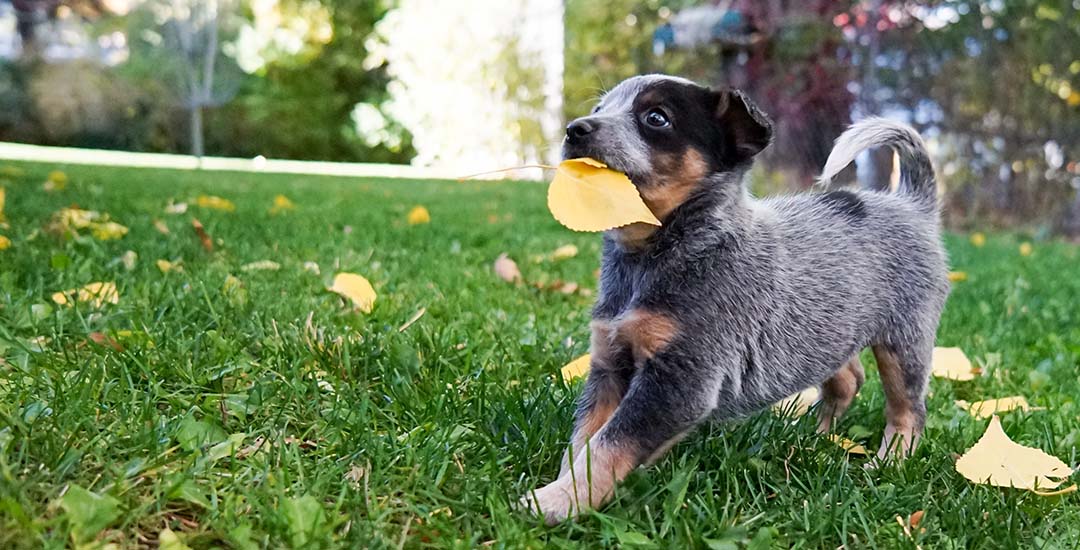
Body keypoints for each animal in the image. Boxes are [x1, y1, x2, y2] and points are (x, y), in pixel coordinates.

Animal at [518, 74, 950, 522]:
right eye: (600, 109)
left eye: (656, 118)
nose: (575, 129)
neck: (654, 254)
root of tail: (912, 204)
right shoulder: (609, 362)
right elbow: (583, 441)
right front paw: (564, 487)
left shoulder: (681, 379)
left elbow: (610, 444)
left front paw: (557, 502)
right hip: (829, 328)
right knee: (848, 379)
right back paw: (811, 436)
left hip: (905, 340)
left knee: (908, 409)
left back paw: (890, 461)